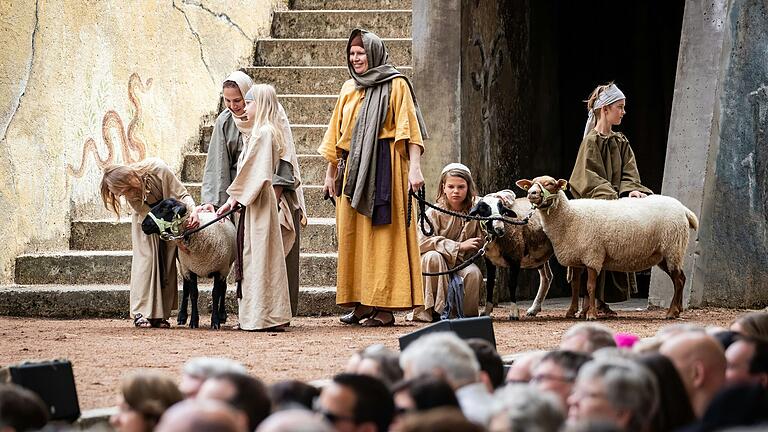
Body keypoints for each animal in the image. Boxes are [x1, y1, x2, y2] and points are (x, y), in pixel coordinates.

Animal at [141, 198, 236, 328]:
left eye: (164, 208)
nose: (143, 225)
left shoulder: (220, 270)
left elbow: (216, 293)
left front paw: (215, 321)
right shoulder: (189, 269)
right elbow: (193, 293)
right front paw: (193, 321)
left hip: (227, 266)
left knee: (223, 287)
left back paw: (222, 315)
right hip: (182, 266)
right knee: (186, 289)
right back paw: (182, 316)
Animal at [516, 176, 704, 320]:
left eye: (549, 184)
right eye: (531, 183)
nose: (531, 193)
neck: (569, 216)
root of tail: (684, 209)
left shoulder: (593, 255)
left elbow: (590, 286)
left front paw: (591, 315)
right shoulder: (577, 257)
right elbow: (576, 286)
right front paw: (571, 312)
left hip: (673, 249)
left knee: (678, 280)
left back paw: (671, 312)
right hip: (664, 254)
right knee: (681, 278)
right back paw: (678, 310)